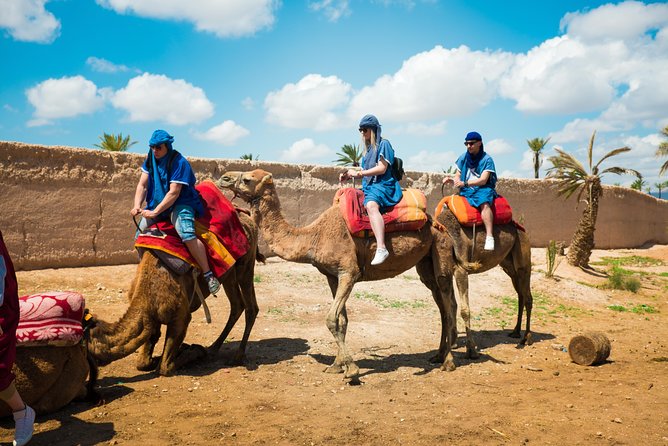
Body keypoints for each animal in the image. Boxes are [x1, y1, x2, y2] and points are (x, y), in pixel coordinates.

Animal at [87, 212, 261, 377]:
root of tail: (249, 219)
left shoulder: (180, 317)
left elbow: (165, 367)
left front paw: (193, 349)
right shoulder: (151, 317)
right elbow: (143, 360)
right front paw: (153, 359)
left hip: (245, 265)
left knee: (251, 307)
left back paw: (237, 356)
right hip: (229, 274)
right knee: (237, 305)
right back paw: (214, 347)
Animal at [217, 169, 472, 379]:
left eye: (248, 179)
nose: (224, 178)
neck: (313, 237)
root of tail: (437, 222)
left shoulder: (349, 272)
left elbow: (331, 318)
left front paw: (352, 370)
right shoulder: (332, 276)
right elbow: (342, 320)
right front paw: (336, 365)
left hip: (440, 251)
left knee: (449, 305)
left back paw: (448, 362)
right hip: (425, 264)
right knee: (442, 305)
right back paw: (438, 355)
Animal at [434, 202, 534, 359]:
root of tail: (522, 228)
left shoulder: (460, 269)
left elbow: (464, 309)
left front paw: (471, 350)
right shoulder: (447, 272)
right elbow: (452, 305)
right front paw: (453, 342)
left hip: (523, 256)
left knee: (528, 296)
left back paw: (526, 337)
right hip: (509, 266)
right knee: (521, 295)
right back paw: (516, 331)